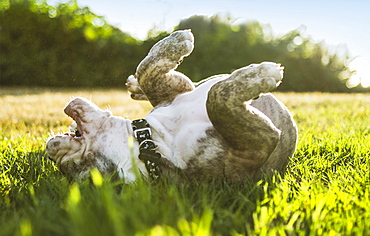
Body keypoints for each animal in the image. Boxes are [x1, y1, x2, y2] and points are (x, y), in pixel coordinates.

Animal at [45, 29, 298, 183]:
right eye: (73, 167)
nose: (49, 150)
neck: (150, 141)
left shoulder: (174, 92)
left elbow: (147, 69)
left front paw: (174, 42)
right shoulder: (253, 148)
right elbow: (216, 99)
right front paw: (259, 76)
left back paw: (135, 86)